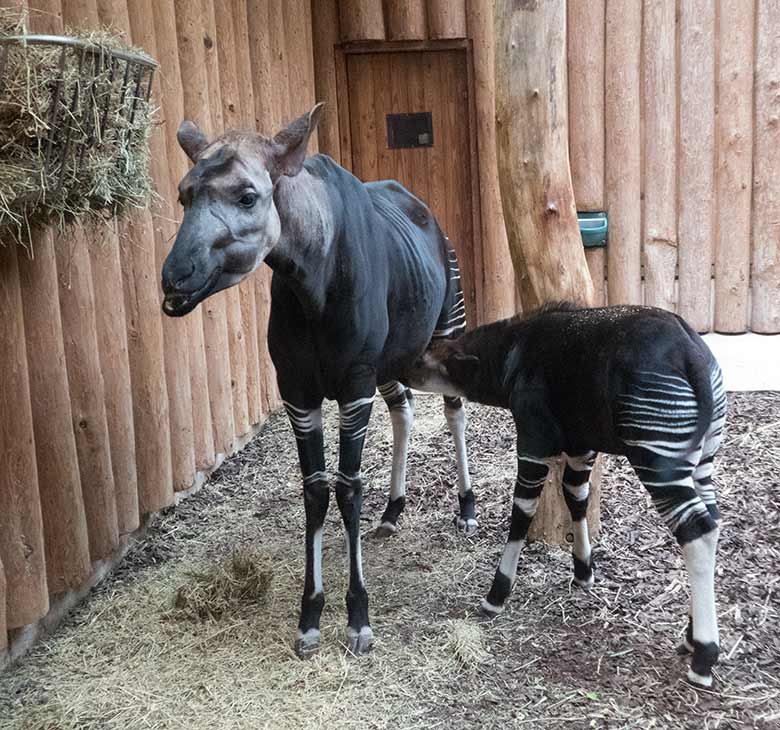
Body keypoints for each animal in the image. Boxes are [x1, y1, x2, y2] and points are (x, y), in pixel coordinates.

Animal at [159, 105, 476, 656]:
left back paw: (466, 508)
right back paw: (392, 511)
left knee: (453, 412)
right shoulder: (300, 391)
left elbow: (347, 488)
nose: (174, 279)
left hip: (445, 327)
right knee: (404, 408)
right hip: (393, 361)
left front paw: (357, 616)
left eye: (248, 196)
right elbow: (315, 491)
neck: (313, 280)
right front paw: (309, 617)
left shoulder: (352, 386)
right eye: (184, 195)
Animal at [406, 298, 728, 684]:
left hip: (657, 454)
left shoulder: (533, 440)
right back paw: (692, 637)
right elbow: (576, 495)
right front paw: (584, 572)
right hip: (702, 457)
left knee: (698, 530)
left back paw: (704, 655)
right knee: (711, 522)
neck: (511, 356)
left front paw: (496, 596)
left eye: (422, 361)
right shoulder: (581, 445)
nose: (399, 370)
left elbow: (522, 512)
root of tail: (691, 352)